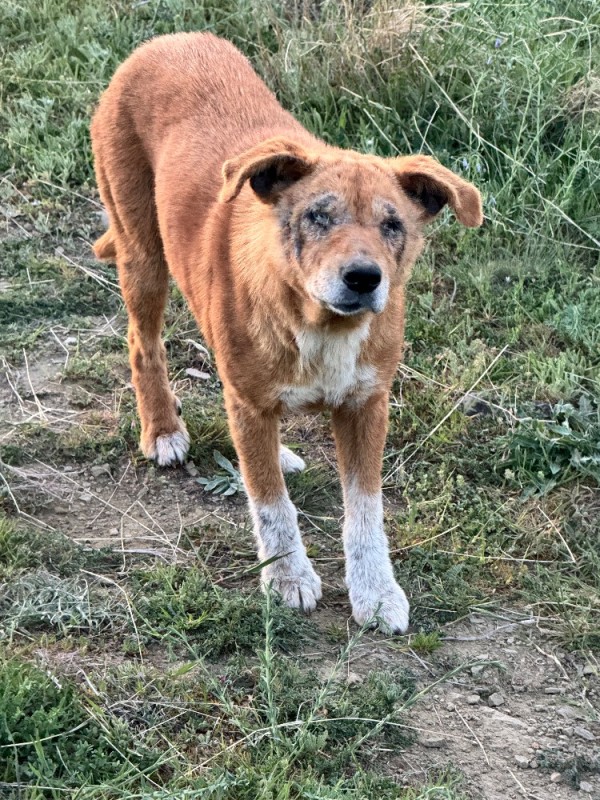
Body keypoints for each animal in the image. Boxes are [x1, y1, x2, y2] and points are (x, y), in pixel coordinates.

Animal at [90, 31, 482, 632]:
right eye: (318, 216)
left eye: (393, 224)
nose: (364, 278)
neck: (322, 326)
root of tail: (169, 39)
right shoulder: (250, 404)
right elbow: (270, 503)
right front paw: (287, 577)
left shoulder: (367, 404)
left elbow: (365, 510)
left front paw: (376, 591)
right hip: (141, 251)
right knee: (143, 344)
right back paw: (162, 430)